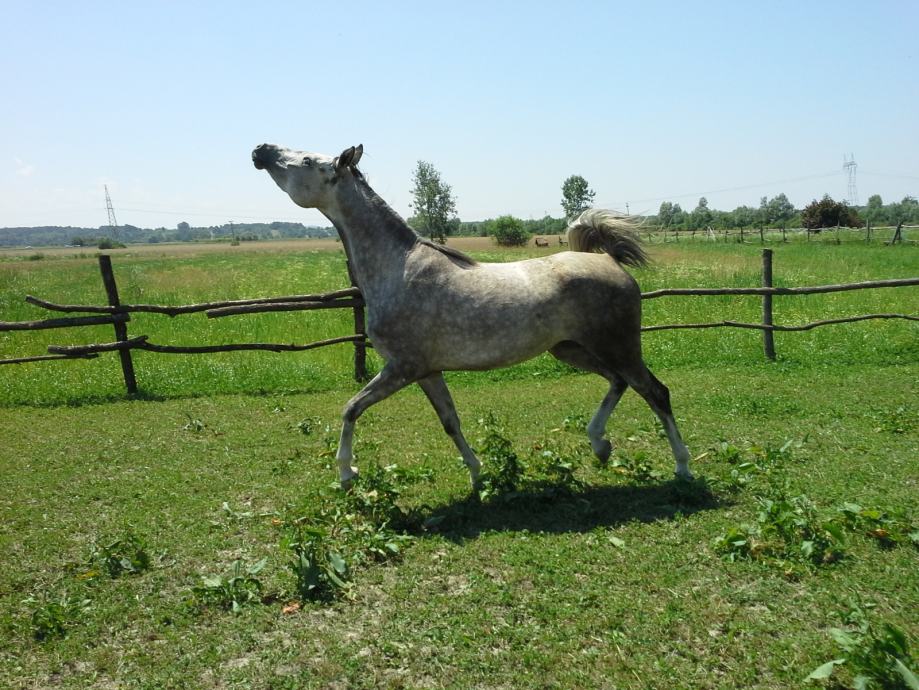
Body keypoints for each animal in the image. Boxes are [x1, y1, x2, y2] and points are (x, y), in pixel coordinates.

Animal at [252, 142, 688, 486]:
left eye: (307, 160)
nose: (261, 150)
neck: (397, 268)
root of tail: (610, 261)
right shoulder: (428, 371)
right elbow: (450, 422)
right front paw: (479, 475)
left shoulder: (402, 367)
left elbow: (351, 408)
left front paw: (346, 473)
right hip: (572, 349)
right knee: (619, 383)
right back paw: (600, 444)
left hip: (618, 348)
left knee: (656, 392)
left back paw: (682, 467)